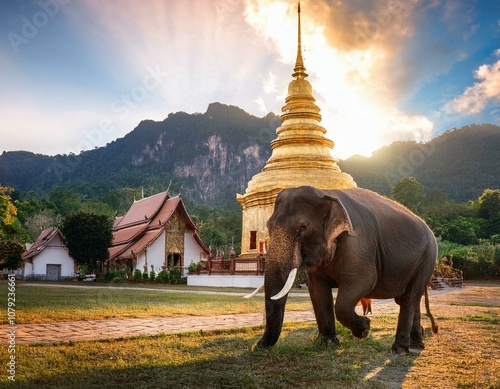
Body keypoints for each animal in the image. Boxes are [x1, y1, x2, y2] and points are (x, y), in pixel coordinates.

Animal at [250, 186, 438, 354]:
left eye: (302, 228)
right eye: (268, 226)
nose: (256, 347)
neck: (325, 192)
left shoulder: (358, 246)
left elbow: (362, 283)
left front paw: (364, 329)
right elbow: (318, 291)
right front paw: (327, 343)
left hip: (428, 258)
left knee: (408, 299)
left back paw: (399, 350)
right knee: (412, 300)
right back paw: (416, 344)